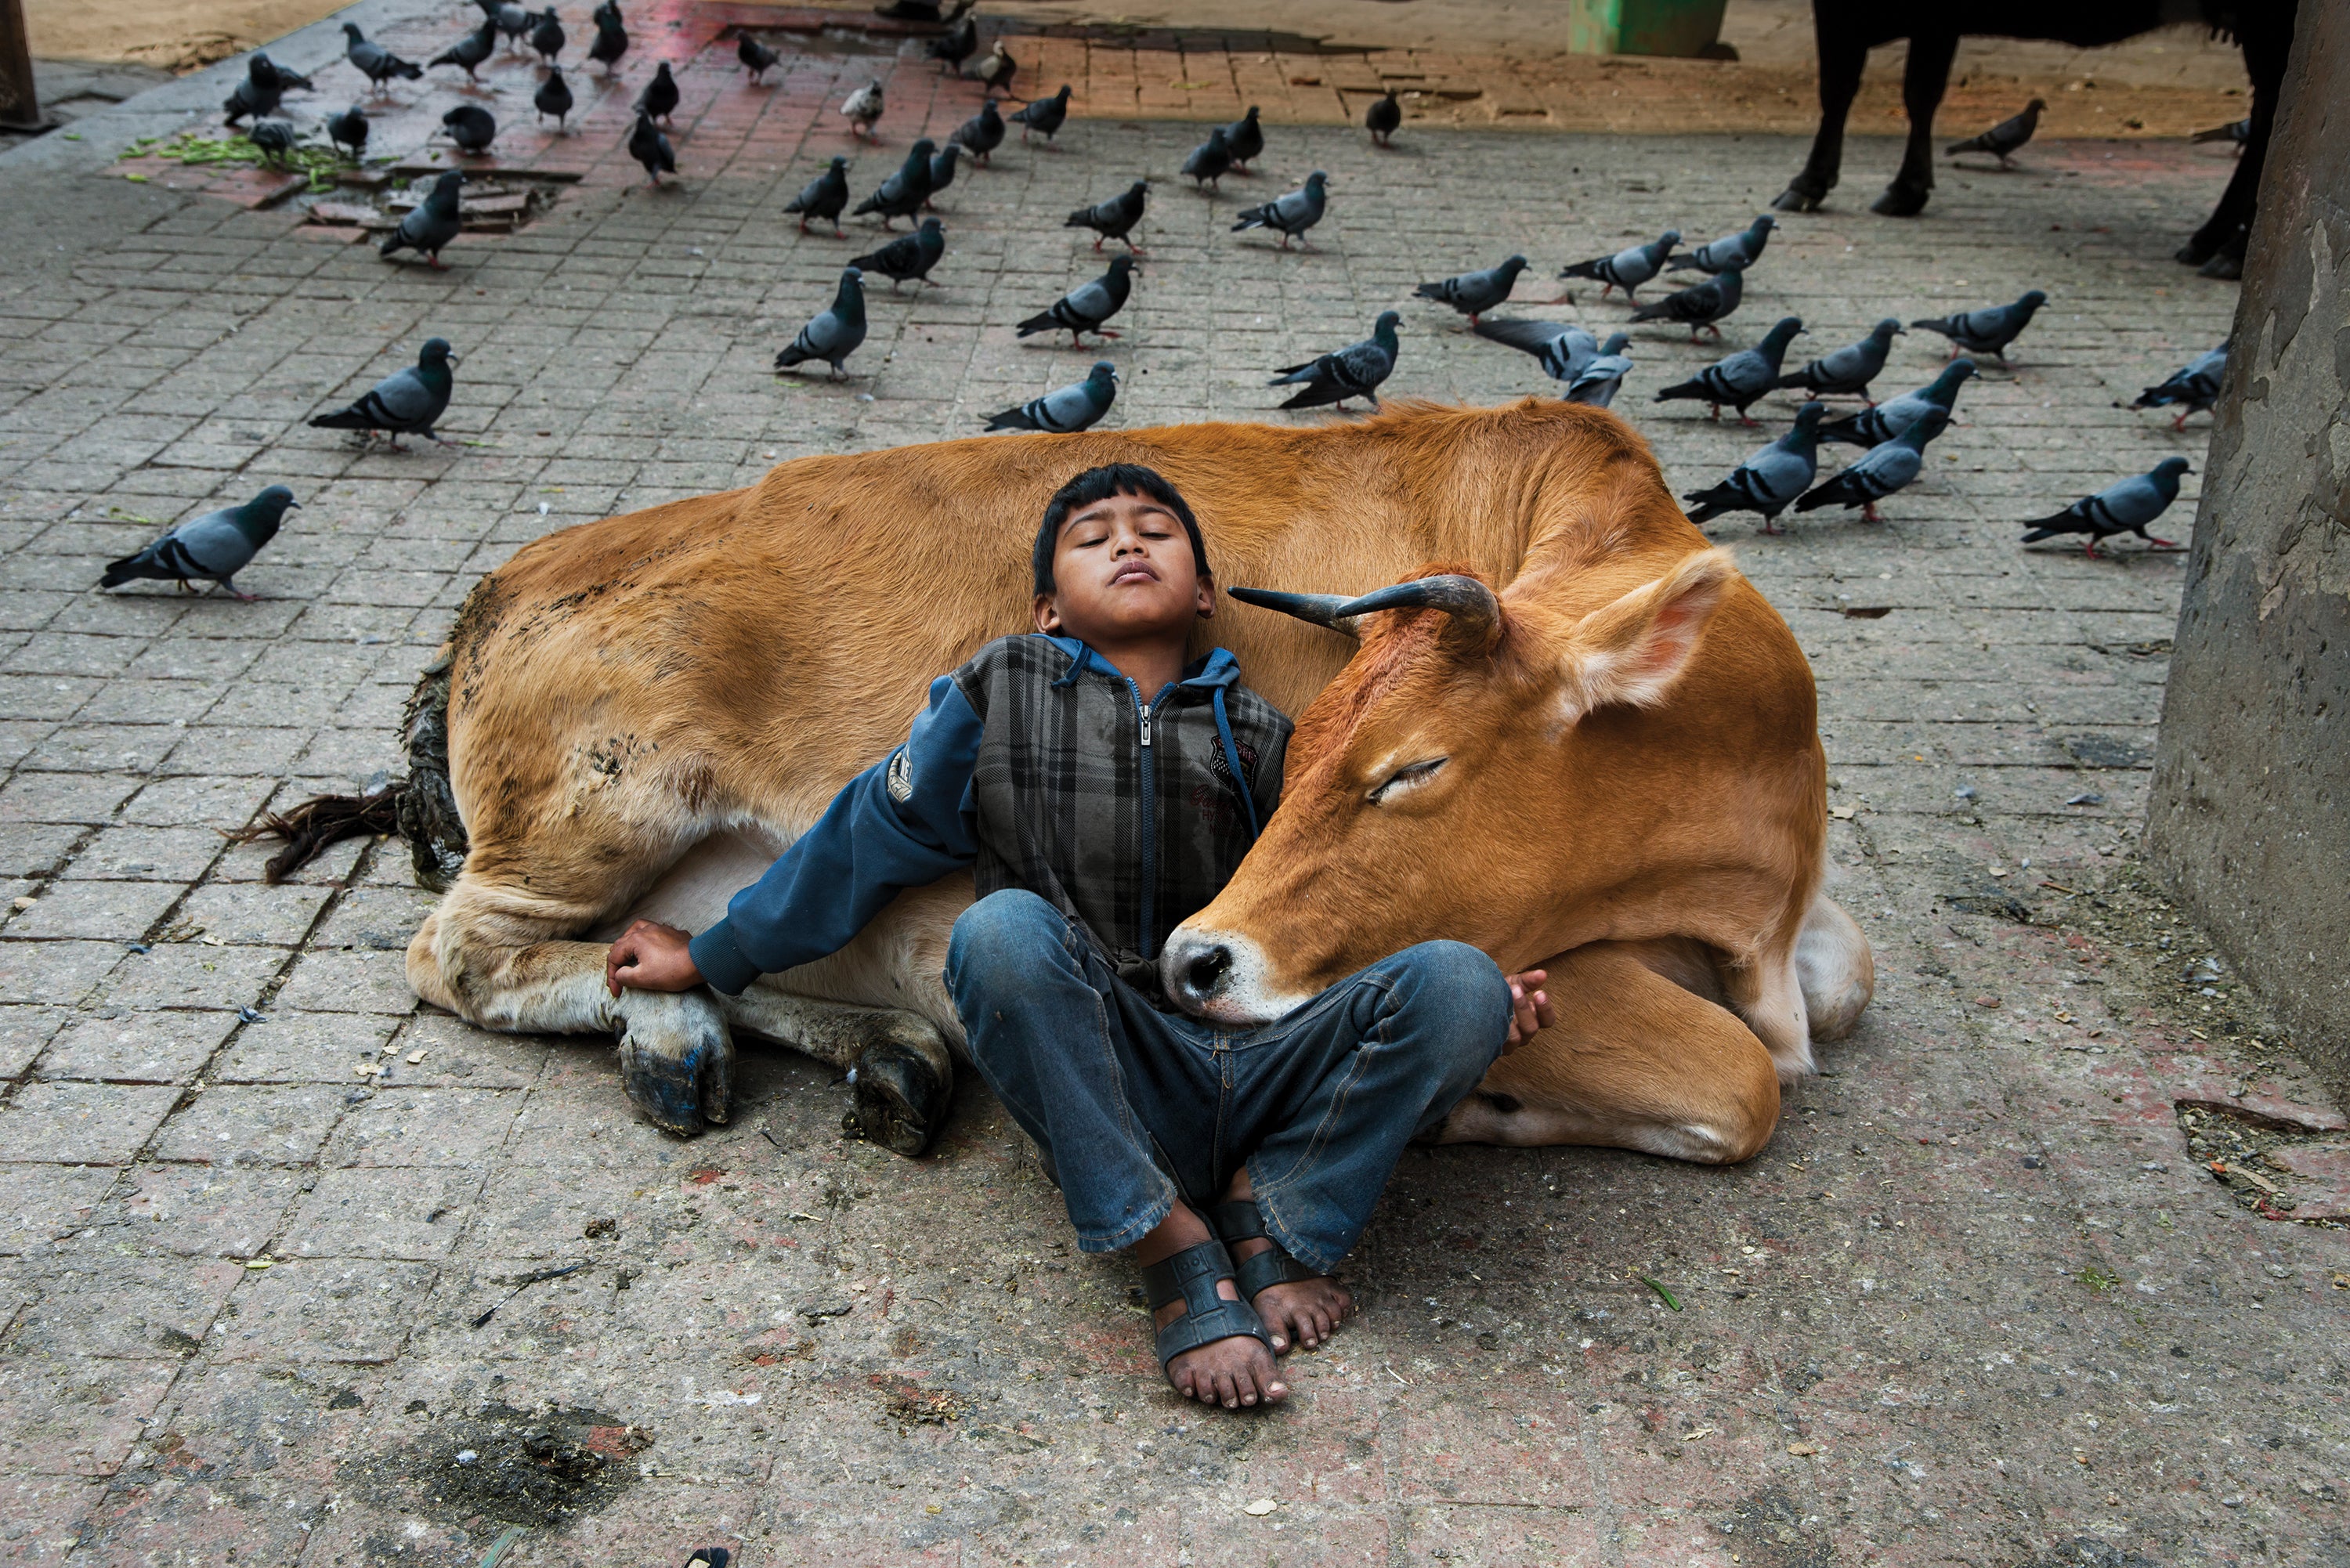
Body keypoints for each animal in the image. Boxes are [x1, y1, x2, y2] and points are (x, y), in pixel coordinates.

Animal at [270, 404, 1871, 1165]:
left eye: (1414, 765)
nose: (1199, 960)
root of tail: (508, 576)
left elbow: (1845, 989)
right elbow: (1740, 1076)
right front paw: (1483, 1107)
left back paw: (871, 1048)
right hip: (603, 799)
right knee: (464, 952)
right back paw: (698, 1033)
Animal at [1777, 0, 2294, 276]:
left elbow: (1838, 88)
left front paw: (1808, 182)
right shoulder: (1936, 19)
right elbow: (1921, 93)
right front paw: (1909, 187)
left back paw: (2231, 251)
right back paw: (2213, 239)